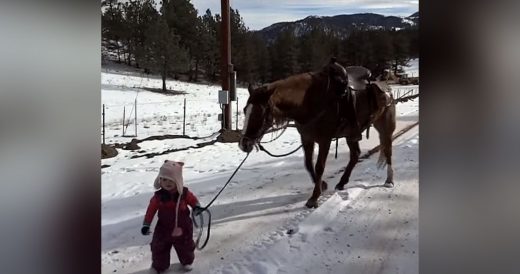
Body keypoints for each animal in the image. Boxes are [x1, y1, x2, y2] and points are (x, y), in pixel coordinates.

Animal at [239, 60, 394, 208]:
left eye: (259, 113)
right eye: (245, 110)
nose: (244, 144)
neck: (310, 101)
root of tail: (385, 86)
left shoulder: (325, 140)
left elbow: (319, 166)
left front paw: (314, 198)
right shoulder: (307, 138)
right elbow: (308, 164)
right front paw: (322, 185)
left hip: (385, 126)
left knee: (387, 150)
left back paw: (389, 181)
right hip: (351, 135)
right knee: (355, 155)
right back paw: (342, 182)